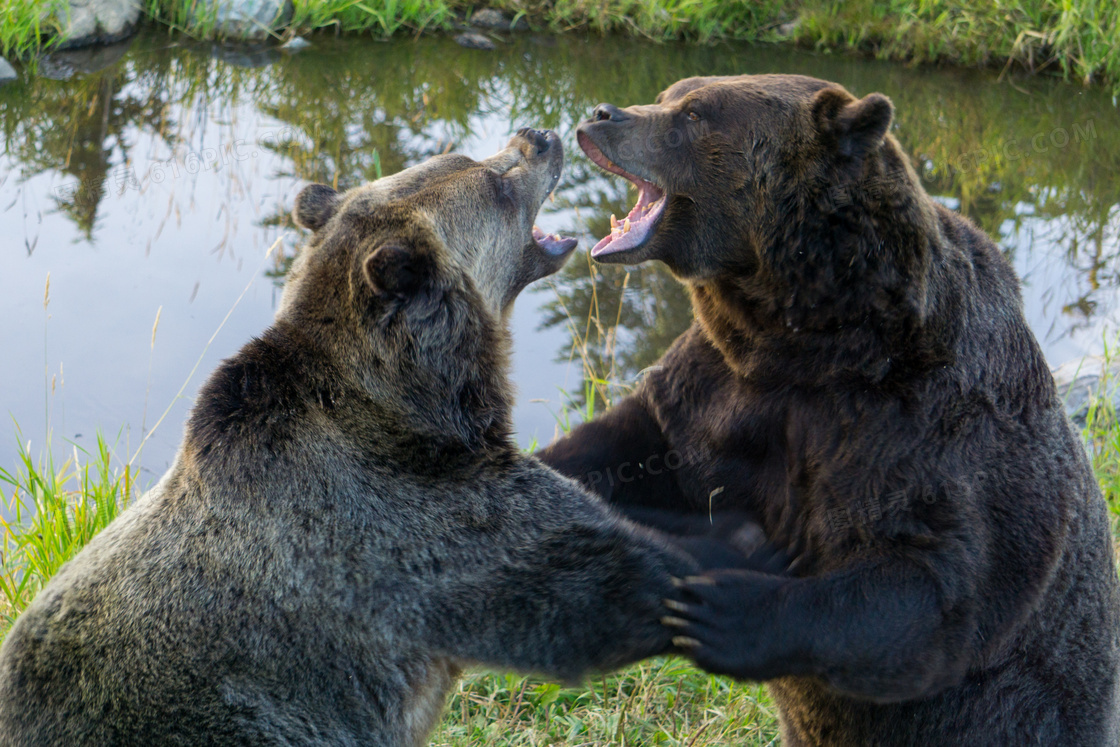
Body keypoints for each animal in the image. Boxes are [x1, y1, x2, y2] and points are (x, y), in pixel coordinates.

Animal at [539, 77, 1120, 747]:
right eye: (669, 94)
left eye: (694, 115)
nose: (601, 114)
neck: (812, 339)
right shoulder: (727, 387)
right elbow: (634, 444)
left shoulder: (930, 422)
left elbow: (932, 588)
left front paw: (721, 606)